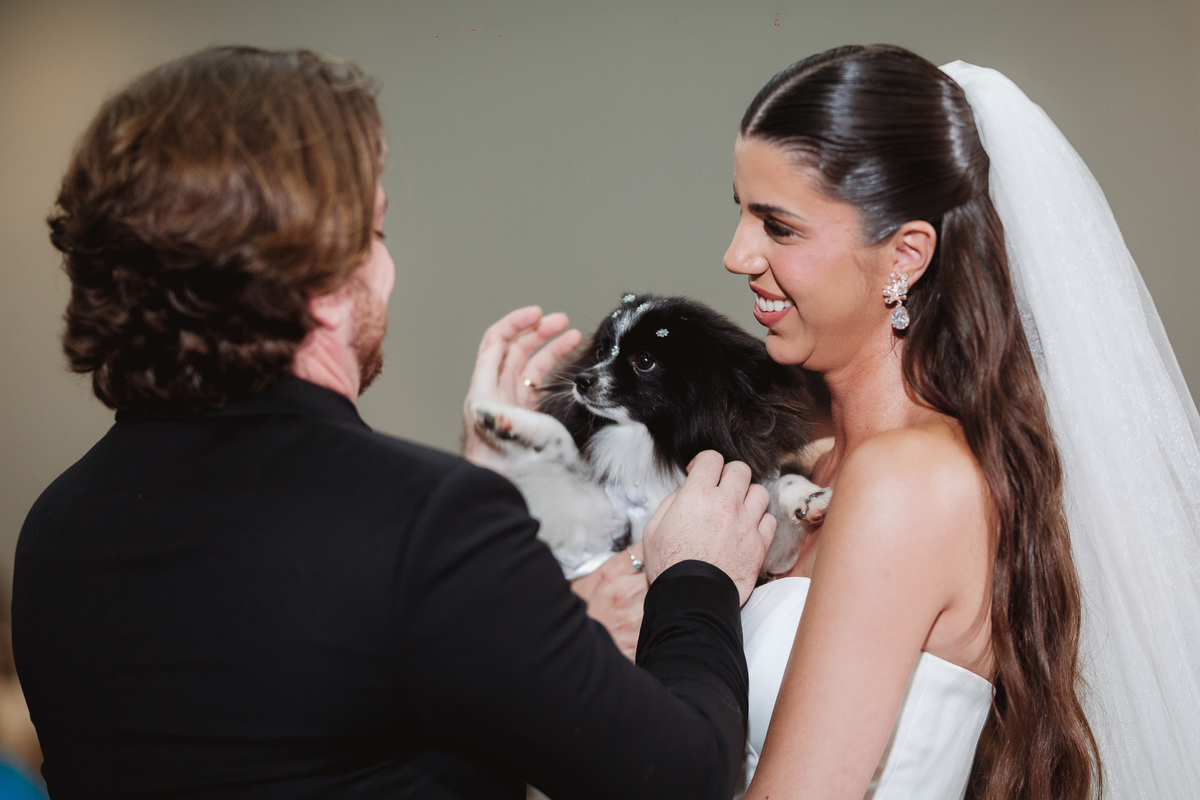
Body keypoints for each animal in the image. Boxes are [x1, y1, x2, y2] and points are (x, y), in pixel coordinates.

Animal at [473, 294, 831, 579]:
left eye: (644, 361)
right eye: (601, 352)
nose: (581, 379)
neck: (647, 441)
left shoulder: (772, 555)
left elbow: (780, 484)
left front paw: (808, 495)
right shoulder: (602, 528)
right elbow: (562, 444)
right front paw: (505, 420)